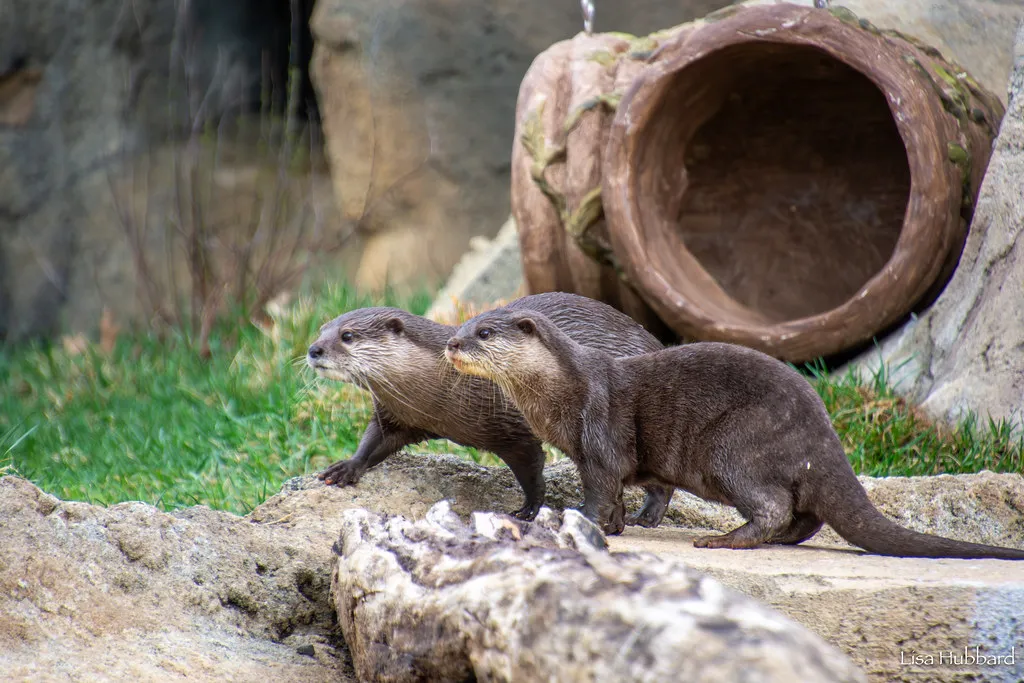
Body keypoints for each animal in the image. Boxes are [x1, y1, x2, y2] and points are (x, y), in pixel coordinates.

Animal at [307, 292, 675, 523]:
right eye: (321, 330)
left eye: (347, 335)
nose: (313, 350)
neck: (444, 389)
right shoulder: (398, 415)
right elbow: (374, 440)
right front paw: (346, 467)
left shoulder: (513, 431)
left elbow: (531, 470)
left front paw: (529, 509)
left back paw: (646, 517)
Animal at [445, 307, 1024, 560]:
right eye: (466, 325)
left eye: (485, 332)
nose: (451, 343)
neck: (565, 390)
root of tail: (824, 439)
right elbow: (636, 492)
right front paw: (622, 525)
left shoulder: (600, 436)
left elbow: (601, 489)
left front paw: (579, 522)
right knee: (805, 516)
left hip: (734, 446)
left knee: (772, 505)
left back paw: (723, 539)